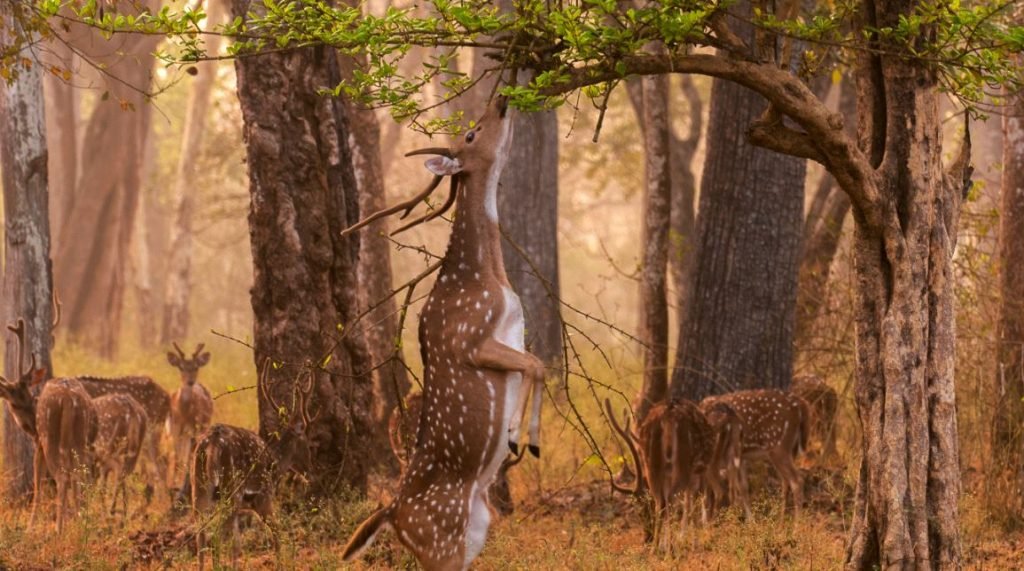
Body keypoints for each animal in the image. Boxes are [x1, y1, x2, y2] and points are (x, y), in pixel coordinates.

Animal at [0, 319, 97, 536]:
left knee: (62, 476)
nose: (24, 422)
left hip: (50, 437)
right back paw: (80, 521)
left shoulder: (38, 444)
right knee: (78, 474)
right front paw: (73, 518)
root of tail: (69, 399)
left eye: (12, 404)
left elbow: (38, 486)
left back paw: (58, 529)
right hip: (79, 438)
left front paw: (30, 527)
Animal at [92, 392, 149, 523]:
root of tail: (132, 410)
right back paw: (125, 511)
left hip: (106, 445)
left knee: (118, 470)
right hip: (135, 449)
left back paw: (112, 510)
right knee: (125, 472)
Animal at [192, 364, 315, 568]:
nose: (309, 469)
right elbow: (277, 534)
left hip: (199, 488)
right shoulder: (263, 497)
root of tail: (213, 442)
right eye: (305, 438)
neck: (276, 464)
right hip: (231, 491)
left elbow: (236, 546)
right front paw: (280, 565)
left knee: (200, 536)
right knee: (214, 538)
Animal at [342, 96, 552, 568]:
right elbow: (535, 365)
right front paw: (516, 436)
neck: (486, 278)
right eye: (471, 134)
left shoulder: (510, 335)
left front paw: (525, 439)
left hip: (472, 534)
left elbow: (537, 363)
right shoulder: (469, 338)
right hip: (440, 542)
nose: (502, 100)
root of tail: (390, 514)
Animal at [700, 388, 811, 519]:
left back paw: (797, 522)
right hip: (789, 450)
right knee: (786, 481)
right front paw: (751, 520)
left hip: (778, 447)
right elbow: (743, 487)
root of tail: (801, 405)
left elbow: (708, 494)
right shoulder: (741, 458)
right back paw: (781, 519)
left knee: (796, 480)